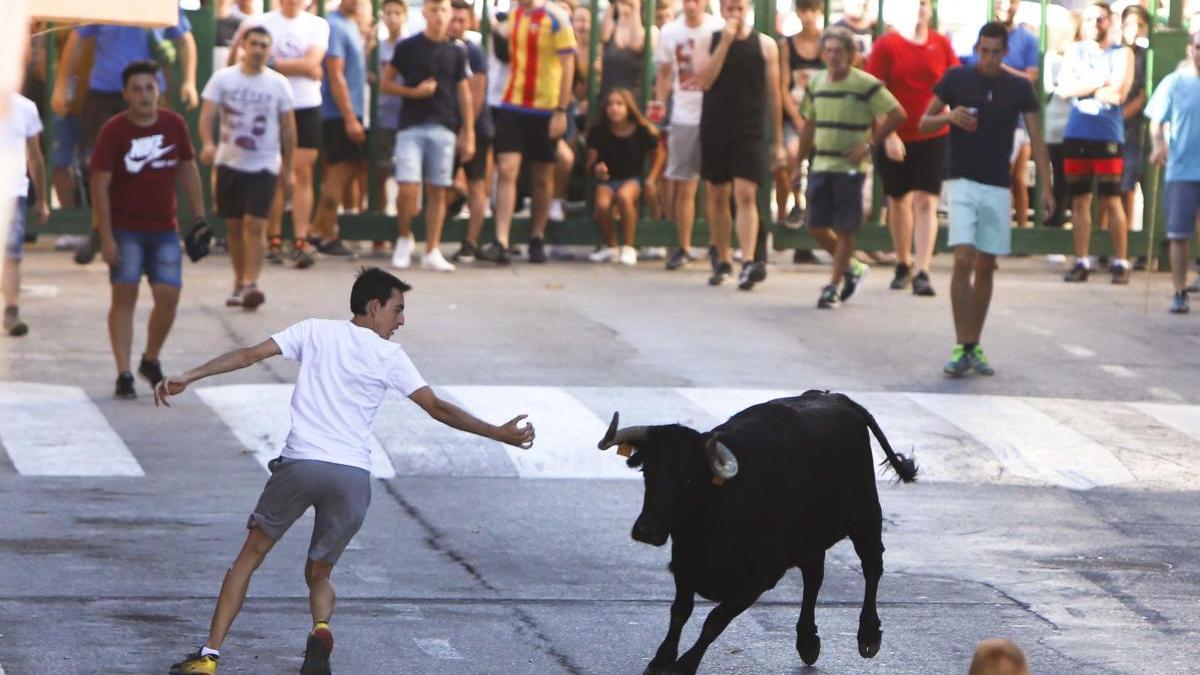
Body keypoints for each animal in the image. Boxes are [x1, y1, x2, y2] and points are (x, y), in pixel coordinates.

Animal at [600, 389, 916, 672]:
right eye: (648, 472)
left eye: (688, 479)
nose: (647, 530)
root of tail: (836, 397)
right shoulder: (684, 565)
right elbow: (680, 612)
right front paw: (661, 660)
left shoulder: (759, 578)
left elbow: (714, 620)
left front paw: (684, 666)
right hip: (810, 535)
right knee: (814, 575)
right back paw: (807, 641)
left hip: (866, 515)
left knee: (872, 566)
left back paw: (868, 634)